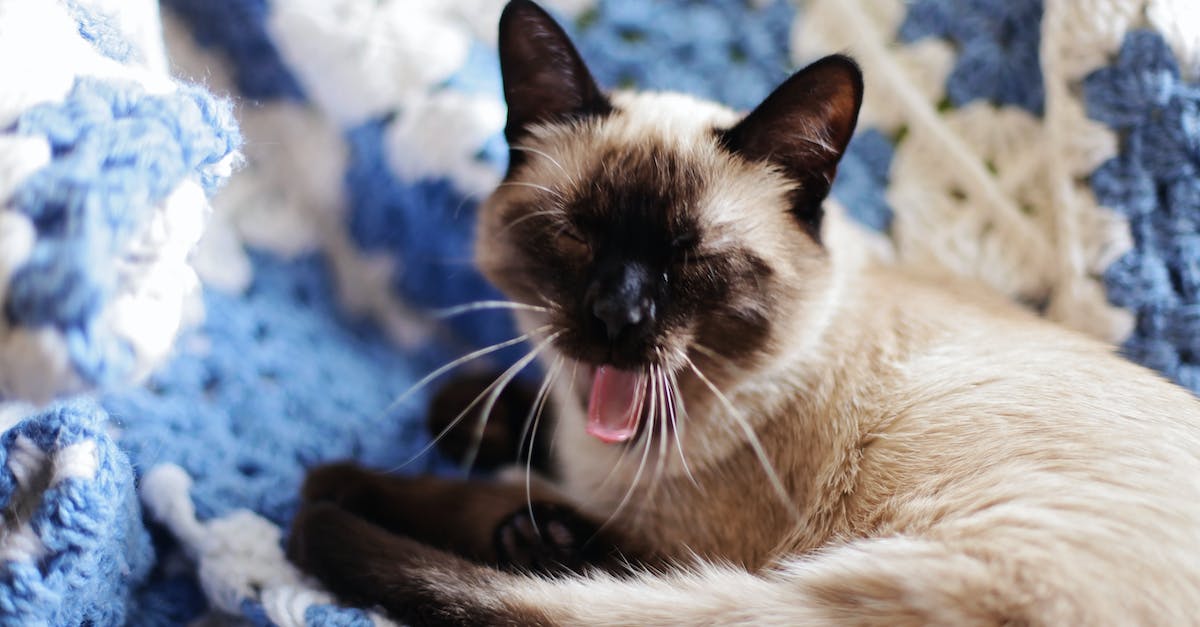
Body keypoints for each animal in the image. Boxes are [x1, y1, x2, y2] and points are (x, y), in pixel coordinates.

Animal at [283, 2, 1200, 619]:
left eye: (692, 259)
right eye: (578, 235)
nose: (617, 316)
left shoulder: (682, 534)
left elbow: (466, 501)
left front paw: (333, 485)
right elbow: (502, 415)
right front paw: (469, 416)